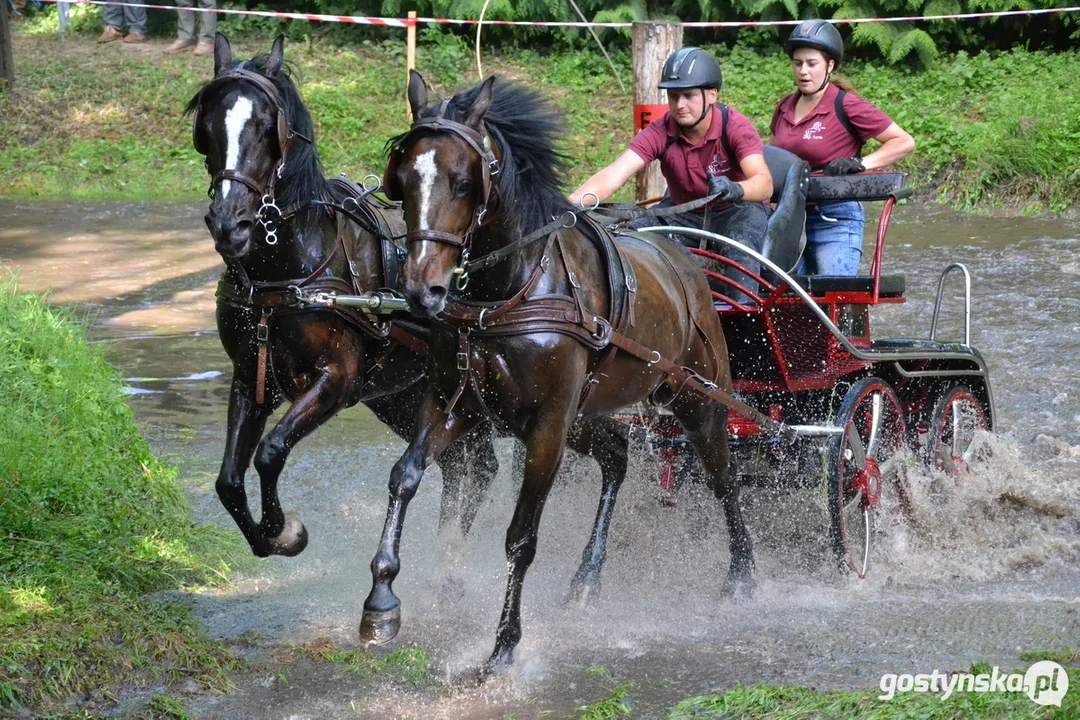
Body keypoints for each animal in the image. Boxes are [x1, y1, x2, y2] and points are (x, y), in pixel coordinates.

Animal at [358, 71, 756, 677]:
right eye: (401, 182)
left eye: (462, 182)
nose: (422, 291)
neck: (505, 292)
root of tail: (685, 262)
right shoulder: (454, 403)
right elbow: (404, 476)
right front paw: (381, 602)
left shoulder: (546, 427)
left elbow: (521, 536)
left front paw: (503, 646)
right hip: (586, 415)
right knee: (617, 455)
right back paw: (588, 575)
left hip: (699, 400)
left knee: (723, 477)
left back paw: (742, 573)